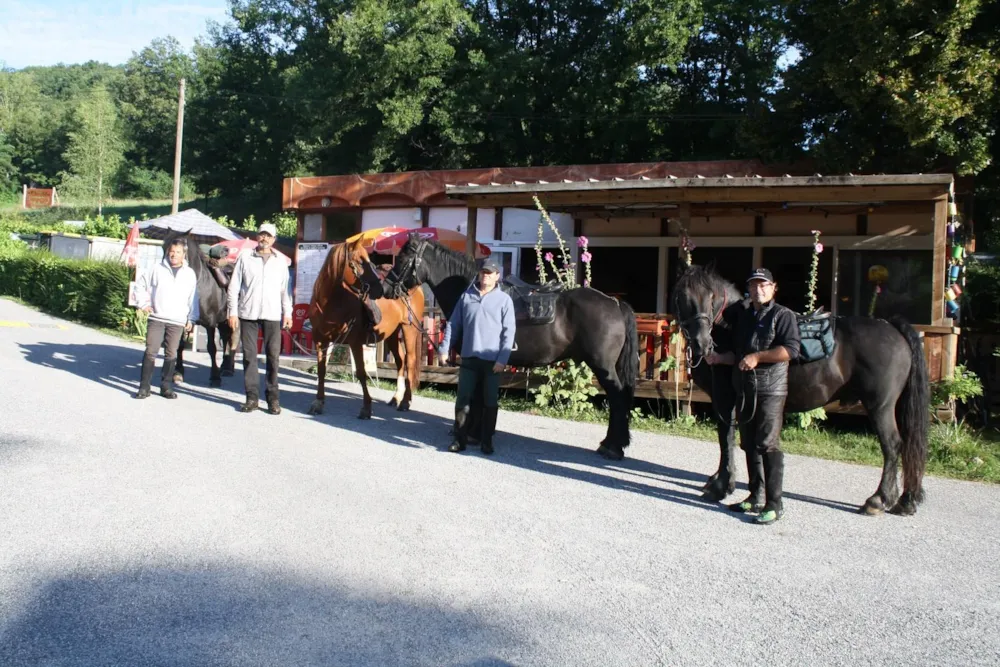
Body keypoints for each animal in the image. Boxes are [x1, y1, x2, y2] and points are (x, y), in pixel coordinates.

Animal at [308, 239, 426, 418]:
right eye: (359, 262)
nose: (380, 289)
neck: (331, 305)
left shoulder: (355, 342)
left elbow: (361, 372)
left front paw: (366, 408)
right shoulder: (321, 340)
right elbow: (321, 370)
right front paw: (318, 402)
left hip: (409, 329)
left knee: (410, 361)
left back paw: (405, 401)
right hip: (392, 334)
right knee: (400, 360)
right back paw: (396, 397)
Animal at [668, 266, 932, 516]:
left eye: (712, 297)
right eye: (681, 296)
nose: (702, 343)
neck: (731, 327)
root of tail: (893, 327)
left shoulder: (725, 398)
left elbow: (726, 438)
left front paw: (721, 486)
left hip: (880, 406)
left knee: (892, 445)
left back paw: (878, 500)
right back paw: (903, 500)